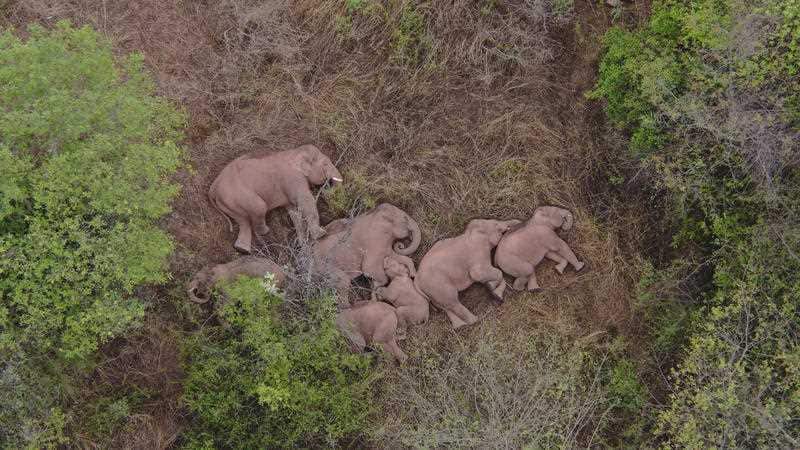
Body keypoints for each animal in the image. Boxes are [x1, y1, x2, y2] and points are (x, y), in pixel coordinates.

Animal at [209, 144, 343, 254]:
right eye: (325, 164)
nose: (327, 185)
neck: (295, 152)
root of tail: (213, 188)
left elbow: (294, 211)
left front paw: (303, 245)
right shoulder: (293, 178)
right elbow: (305, 200)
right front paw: (321, 234)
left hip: (228, 203)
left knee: (243, 221)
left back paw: (242, 250)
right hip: (237, 196)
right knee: (259, 208)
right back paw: (265, 232)